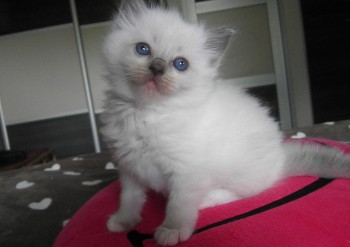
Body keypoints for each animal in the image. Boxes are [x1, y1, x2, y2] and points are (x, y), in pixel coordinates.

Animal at [100, 0, 350, 246]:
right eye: (143, 49)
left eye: (180, 64)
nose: (157, 67)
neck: (143, 113)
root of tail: (281, 158)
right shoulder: (129, 168)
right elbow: (130, 198)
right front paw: (123, 221)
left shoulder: (187, 173)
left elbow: (179, 205)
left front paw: (172, 231)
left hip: (235, 172)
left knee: (243, 193)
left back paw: (208, 199)